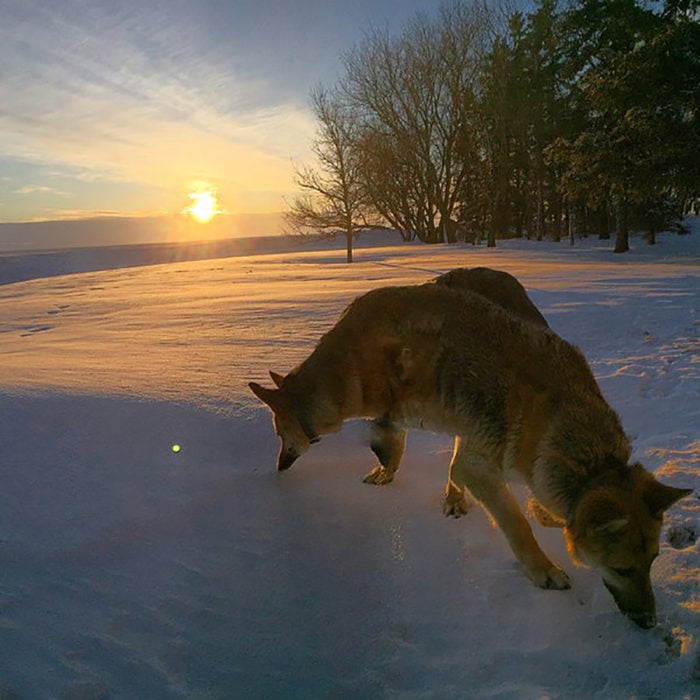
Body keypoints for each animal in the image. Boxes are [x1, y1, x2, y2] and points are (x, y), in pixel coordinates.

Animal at [250, 270, 688, 628]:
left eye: (652, 562)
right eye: (624, 569)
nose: (649, 623)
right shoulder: (480, 461)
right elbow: (516, 524)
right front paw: (543, 570)